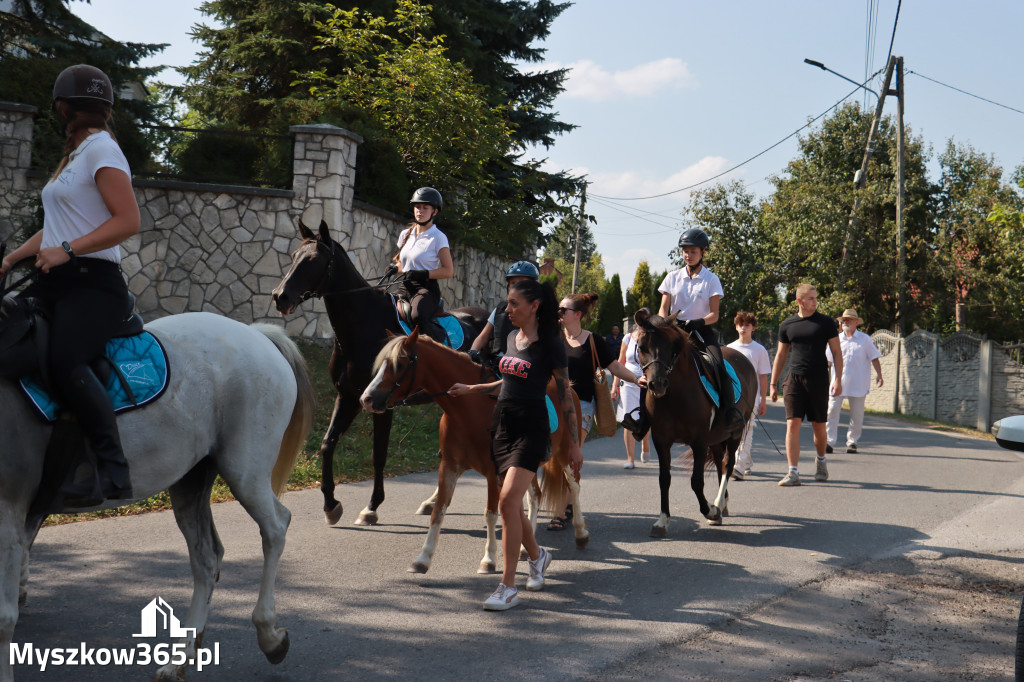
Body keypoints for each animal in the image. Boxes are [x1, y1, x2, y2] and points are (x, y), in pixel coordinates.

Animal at [360, 327, 589, 569]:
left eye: (399, 365)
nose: (366, 399)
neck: (468, 408)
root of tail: (568, 387)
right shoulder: (450, 467)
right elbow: (439, 510)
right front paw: (423, 558)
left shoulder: (493, 471)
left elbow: (490, 513)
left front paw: (488, 559)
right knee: (535, 495)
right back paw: (526, 548)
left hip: (566, 454)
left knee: (574, 486)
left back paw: (581, 533)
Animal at [630, 307, 761, 536]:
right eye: (642, 346)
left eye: (672, 348)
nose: (657, 384)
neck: (675, 396)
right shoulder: (661, 440)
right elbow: (664, 479)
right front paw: (662, 521)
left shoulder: (699, 441)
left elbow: (696, 481)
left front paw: (710, 511)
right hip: (717, 438)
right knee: (720, 463)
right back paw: (722, 504)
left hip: (734, 433)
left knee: (728, 465)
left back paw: (717, 505)